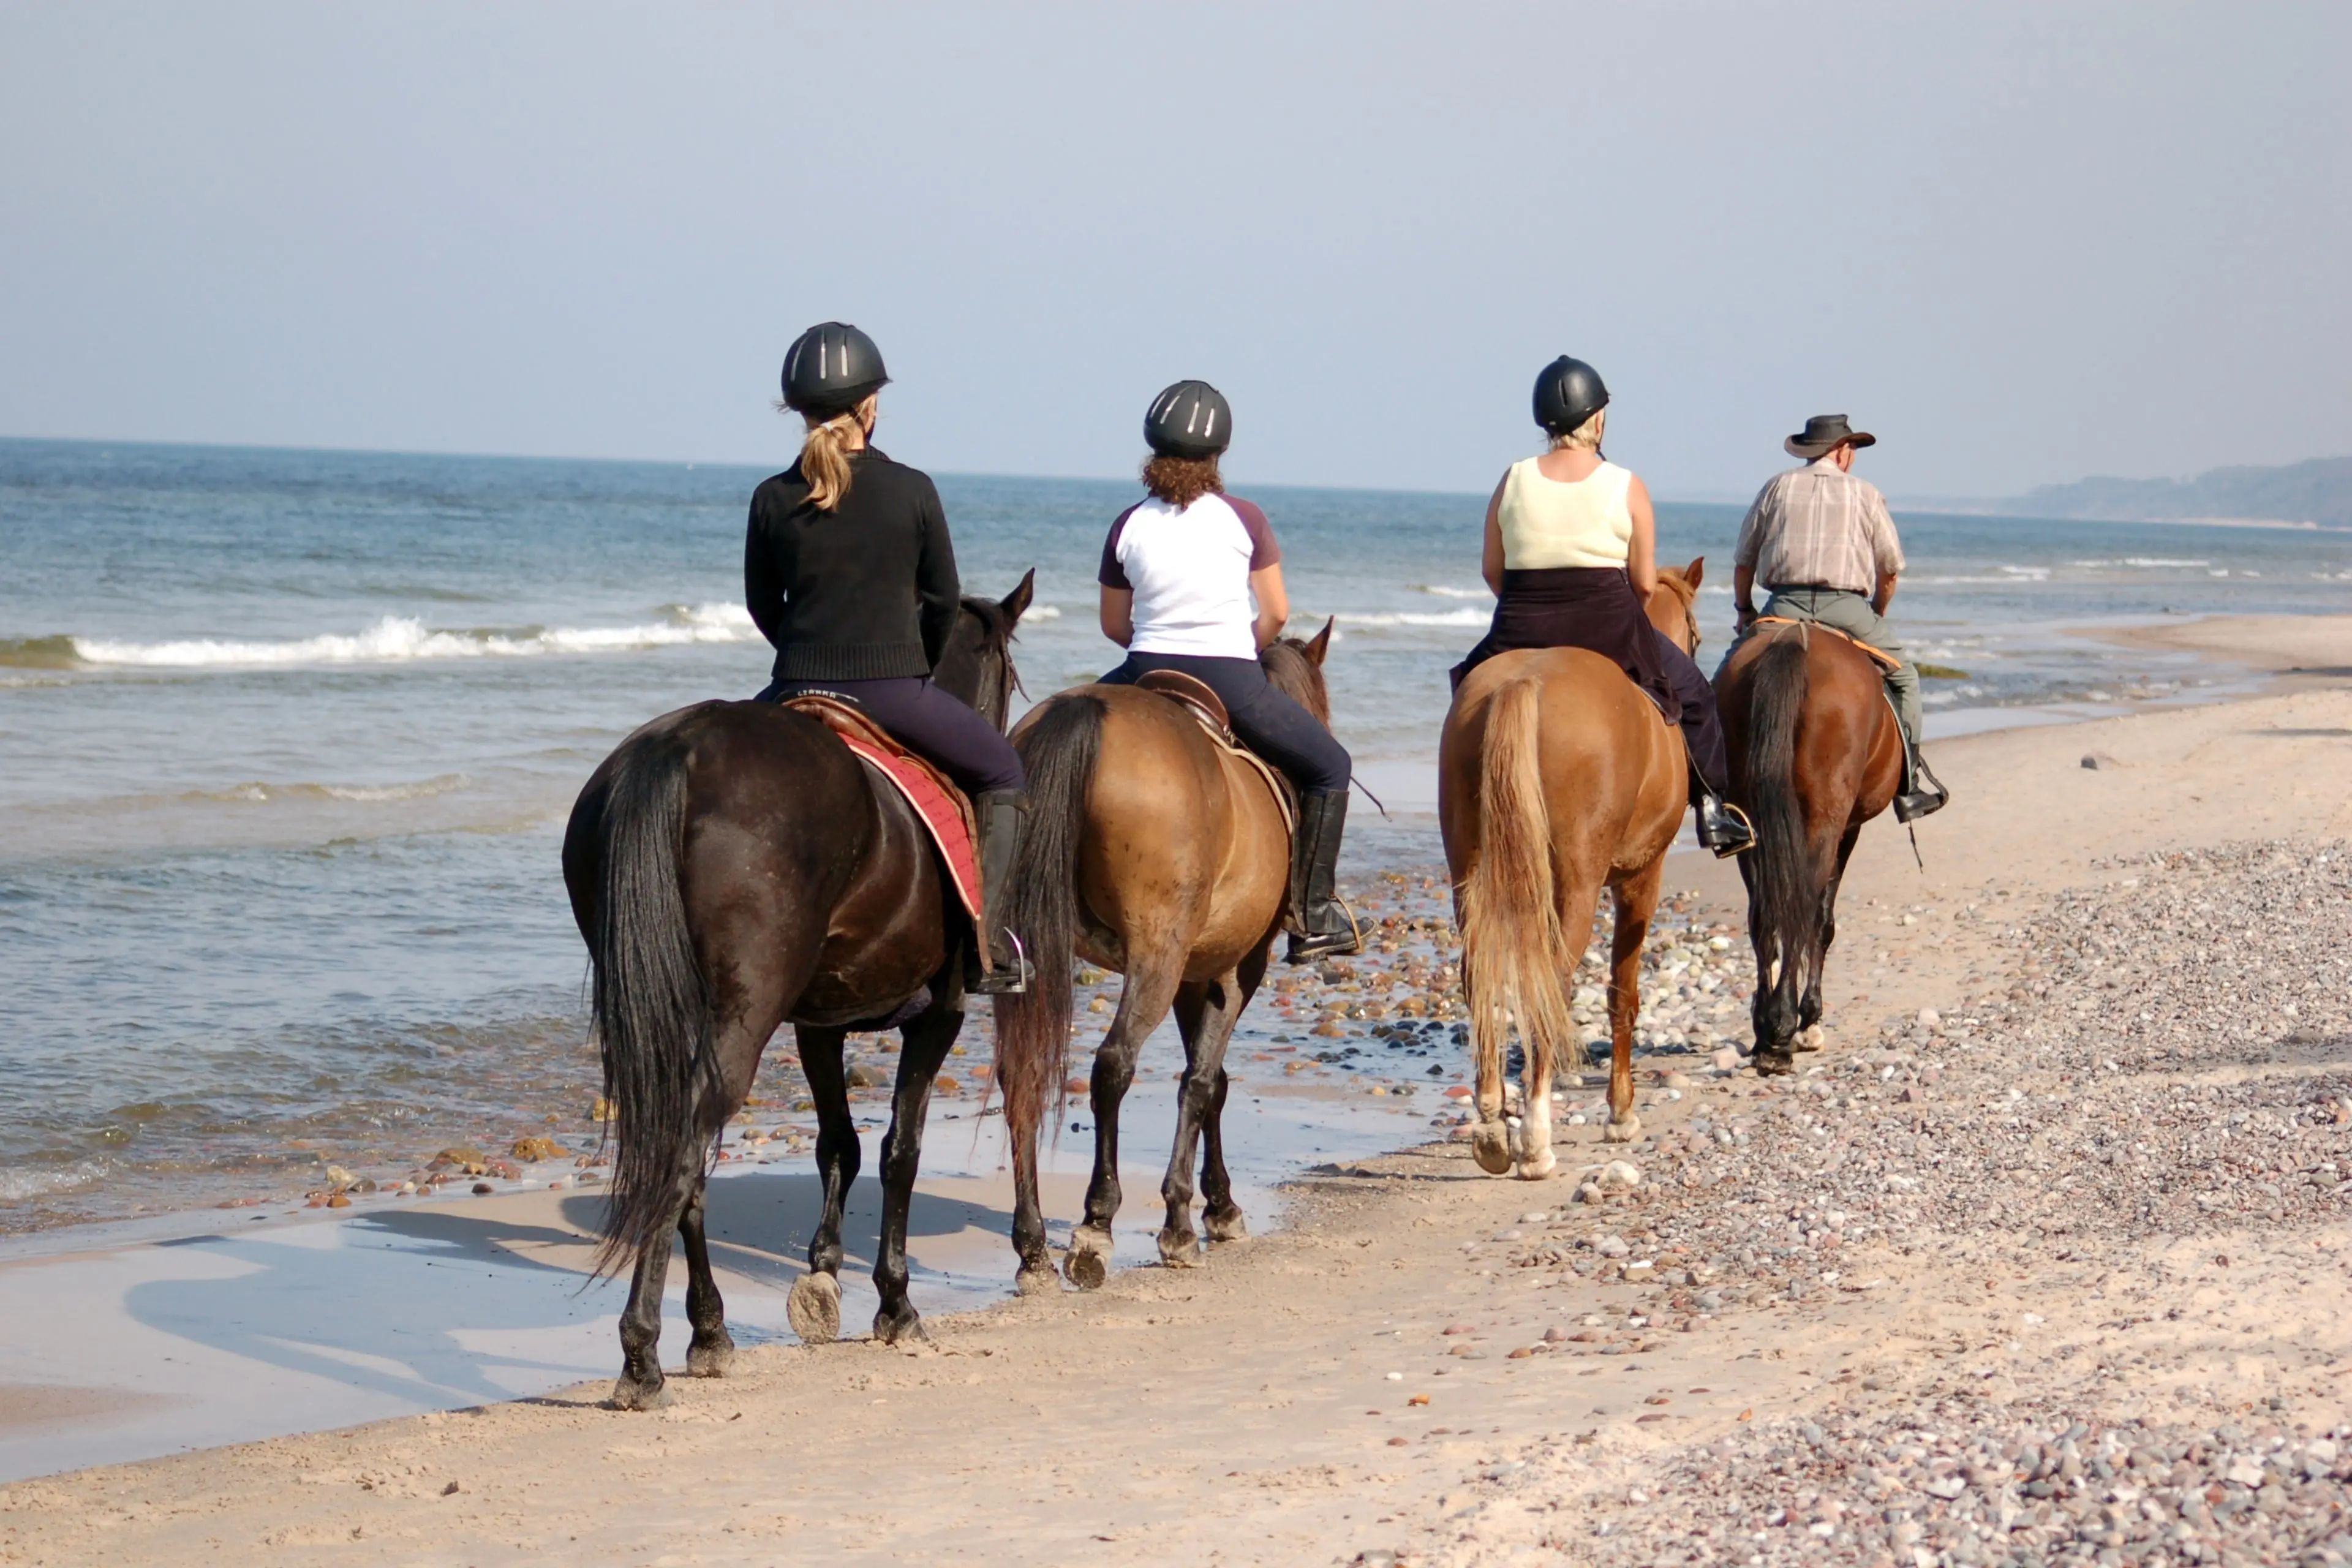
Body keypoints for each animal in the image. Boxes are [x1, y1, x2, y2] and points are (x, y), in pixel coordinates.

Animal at [560, 573, 1032, 1409]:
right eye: (1007, 675)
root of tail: (679, 748)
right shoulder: (938, 1016)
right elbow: (900, 1149)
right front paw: (893, 1301)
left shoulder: (817, 1023)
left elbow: (838, 1142)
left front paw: (823, 1275)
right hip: (747, 1016)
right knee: (684, 1156)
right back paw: (642, 1355)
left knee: (684, 1155)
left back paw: (709, 1331)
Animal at [988, 624, 1336, 1292]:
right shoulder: (1235, 968)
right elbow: (1203, 1081)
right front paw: (1189, 1217)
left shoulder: (1194, 974)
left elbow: (1211, 1078)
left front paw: (1217, 1204)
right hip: (1157, 952)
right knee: (1113, 1065)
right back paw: (1096, 1224)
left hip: (1026, 953)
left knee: (1021, 1072)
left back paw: (1033, 1247)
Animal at [1437, 561, 1706, 1178]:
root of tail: (1523, 683)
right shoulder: (1642, 879)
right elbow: (1623, 993)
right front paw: (1621, 1113)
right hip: (1578, 886)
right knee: (1552, 984)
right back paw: (1535, 1140)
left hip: (1468, 872)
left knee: (1479, 975)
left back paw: (1492, 1129)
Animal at [1714, 619, 1902, 1074]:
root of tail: (1794, 641)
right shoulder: (1848, 829)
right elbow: (1823, 919)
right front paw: (1810, 1018)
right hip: (1826, 818)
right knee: (1804, 907)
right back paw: (1786, 1026)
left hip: (1750, 819)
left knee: (1764, 913)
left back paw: (1766, 1030)